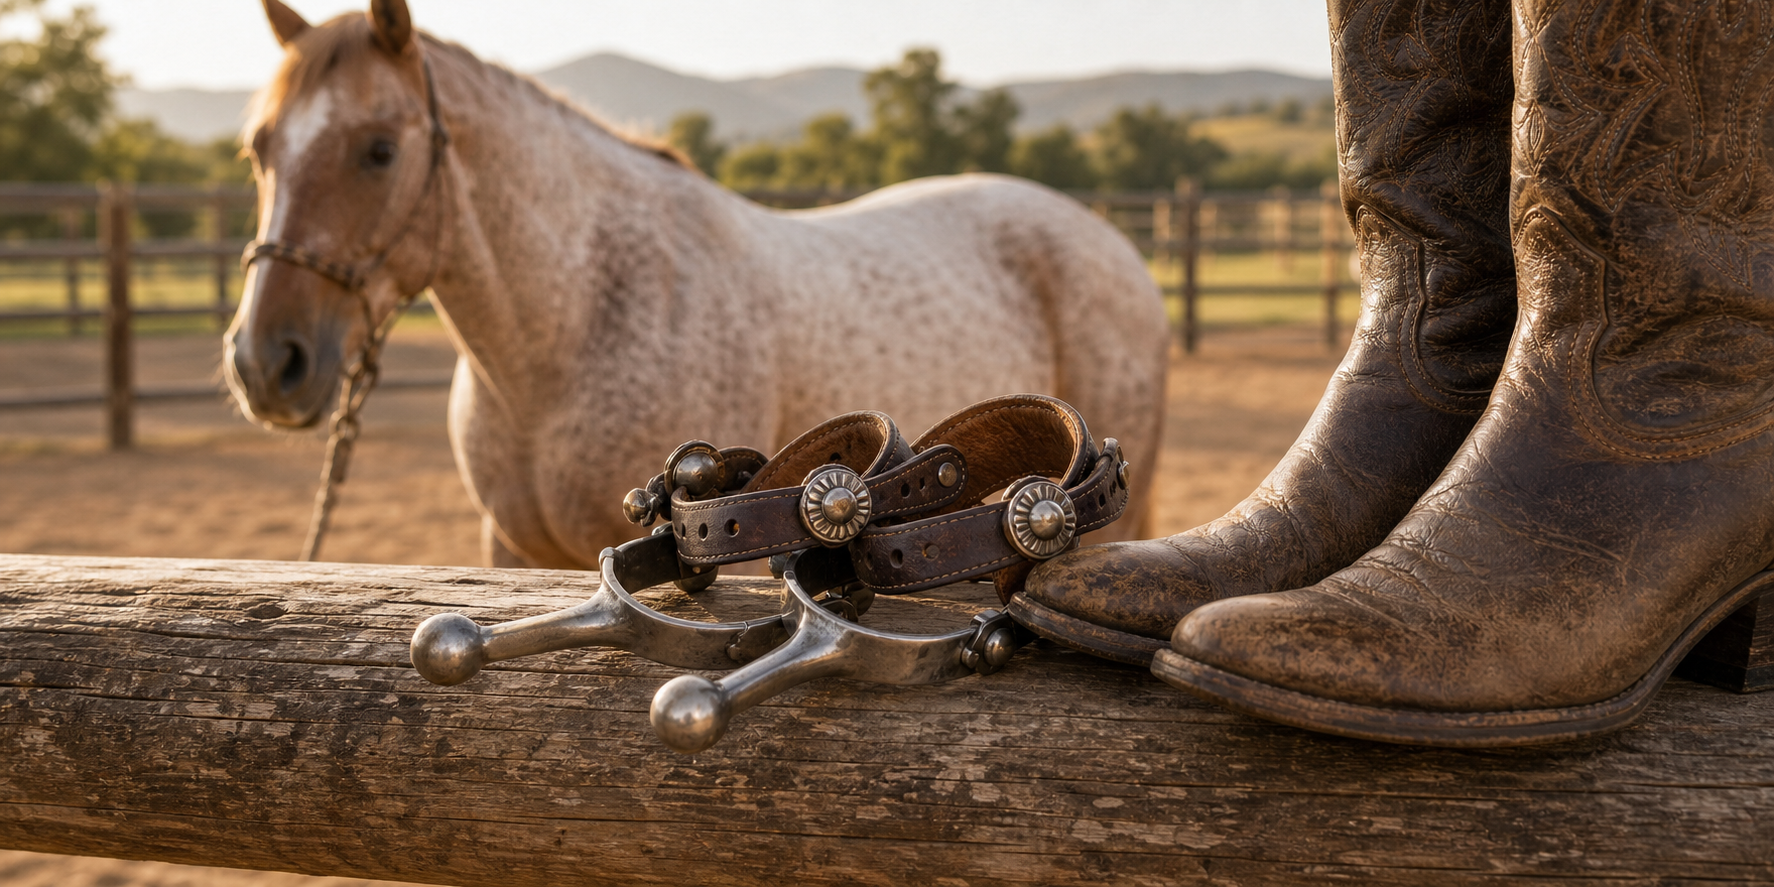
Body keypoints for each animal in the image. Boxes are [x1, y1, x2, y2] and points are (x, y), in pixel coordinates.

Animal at [226, 0, 1168, 570]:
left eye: (379, 149)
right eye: (260, 148)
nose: (265, 363)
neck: (574, 329)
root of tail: (1110, 242)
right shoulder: (510, 549)